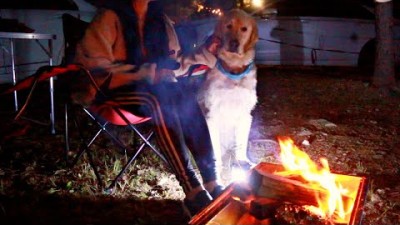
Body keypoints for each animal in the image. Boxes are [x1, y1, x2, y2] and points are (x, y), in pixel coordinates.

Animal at [198, 9, 260, 184]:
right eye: (228, 26)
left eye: (244, 29)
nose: (234, 43)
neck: (234, 71)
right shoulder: (212, 115)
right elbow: (215, 151)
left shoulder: (245, 114)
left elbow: (241, 144)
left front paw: (243, 162)